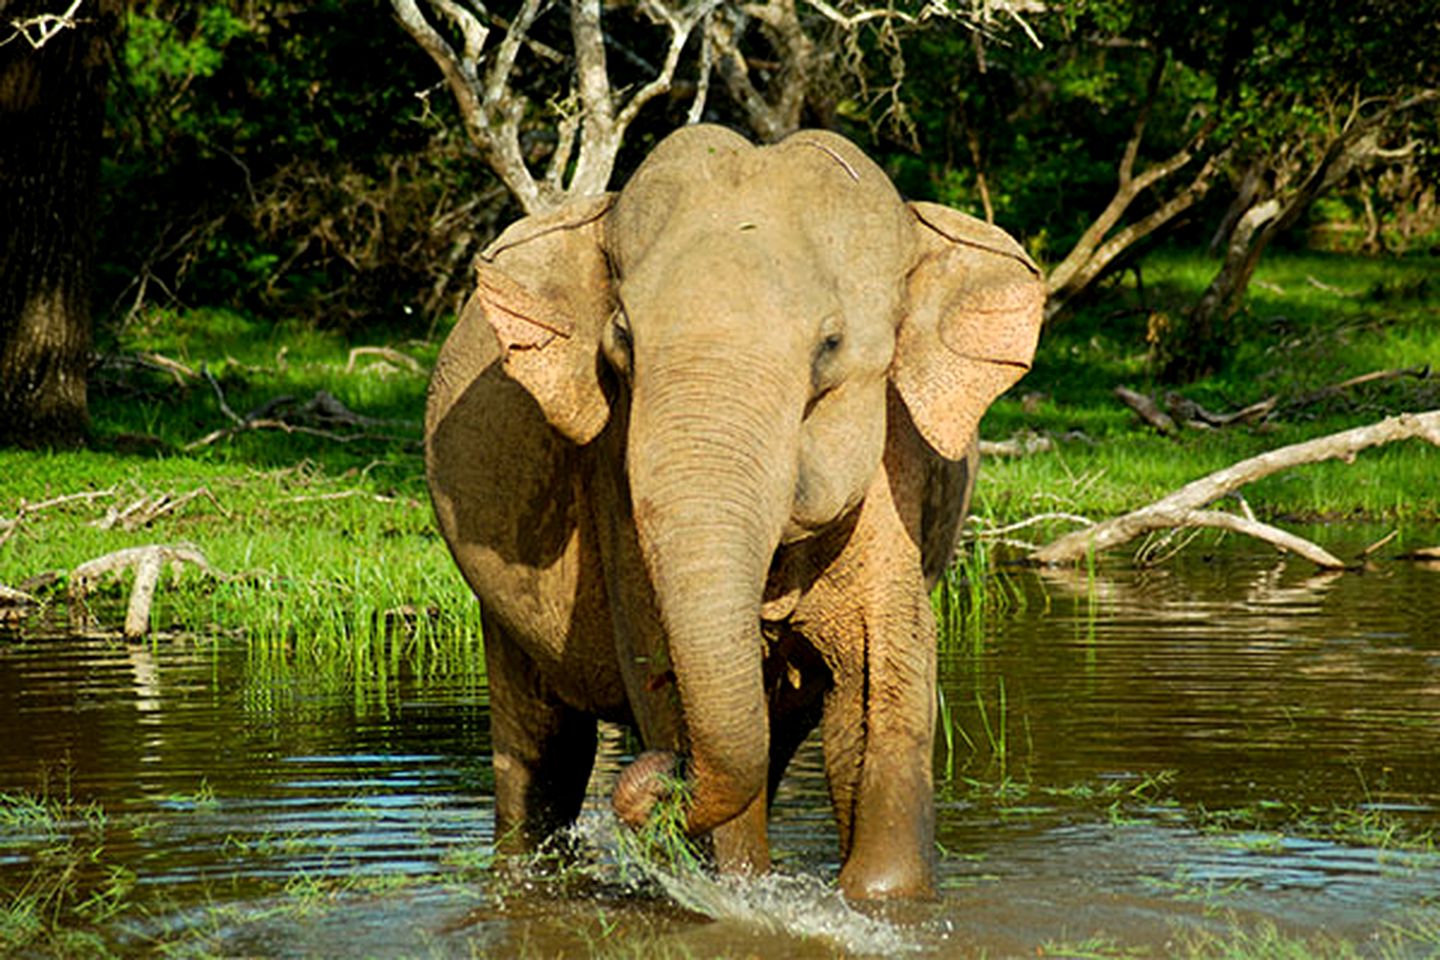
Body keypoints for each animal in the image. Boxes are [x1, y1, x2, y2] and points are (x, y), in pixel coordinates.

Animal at [420, 122, 1042, 903]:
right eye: (621, 342)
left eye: (830, 345)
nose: (656, 779)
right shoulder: (614, 480)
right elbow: (657, 664)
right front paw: (735, 892)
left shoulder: (897, 471)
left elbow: (882, 676)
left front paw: (877, 898)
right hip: (502, 619)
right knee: (539, 748)